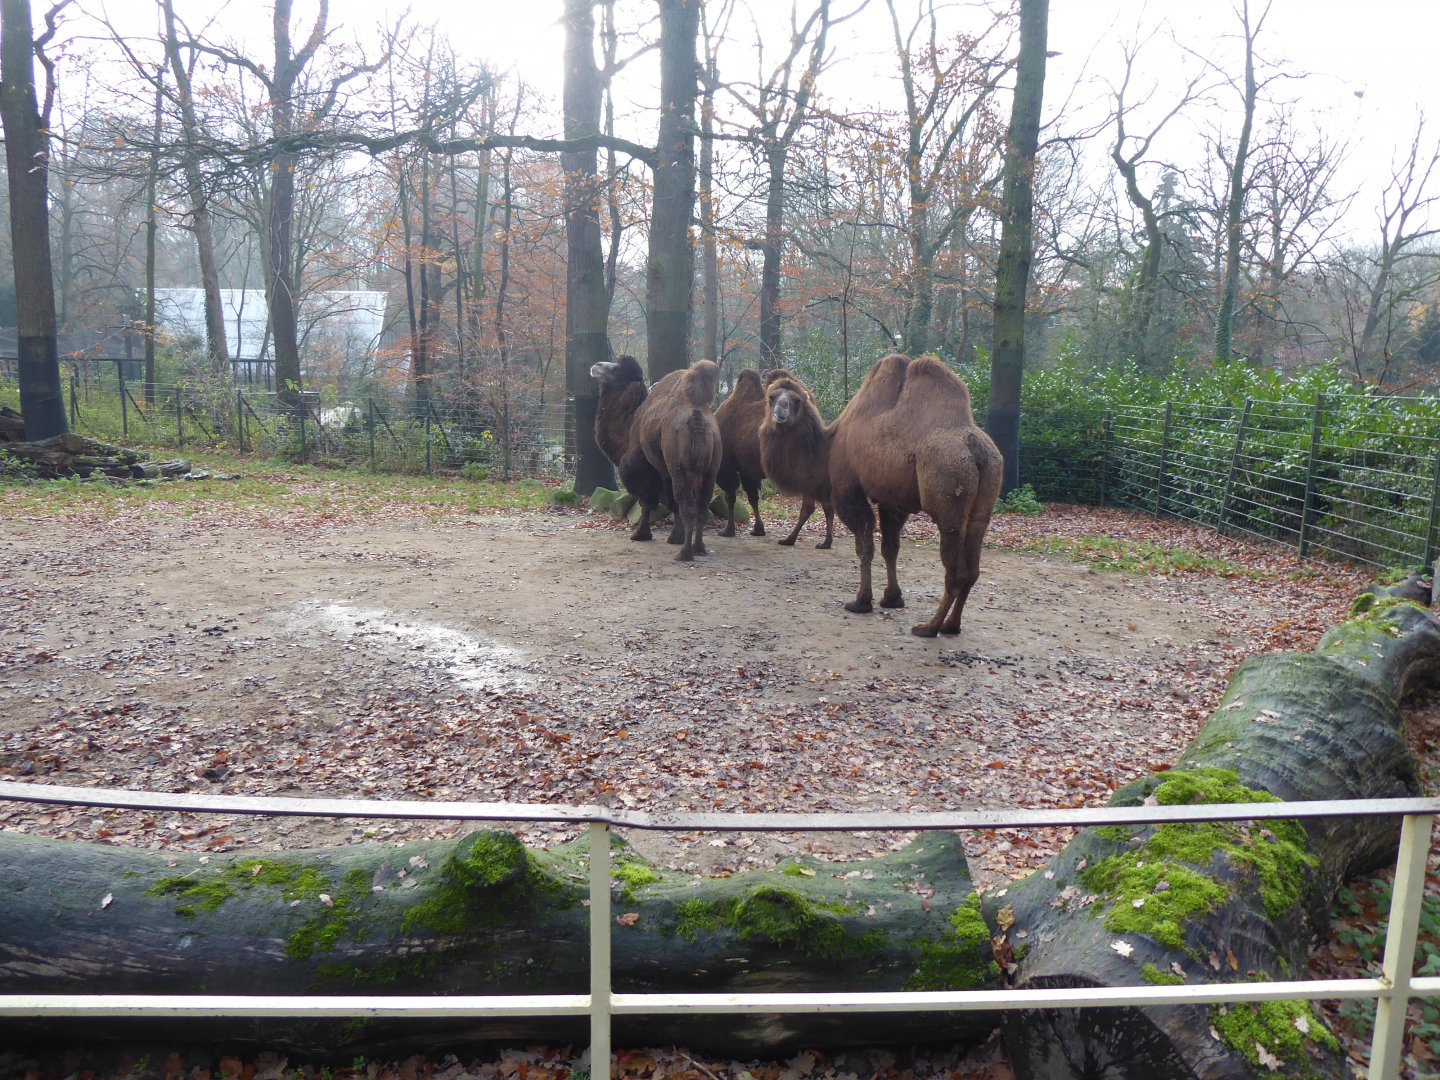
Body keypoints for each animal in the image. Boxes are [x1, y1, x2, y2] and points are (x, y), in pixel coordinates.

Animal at [756, 371, 836, 549]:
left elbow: (809, 509)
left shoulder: (813, 484)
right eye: (772, 397)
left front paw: (789, 539)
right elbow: (826, 510)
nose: (782, 405)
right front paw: (826, 542)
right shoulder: (821, 488)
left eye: (796, 400)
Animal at [828, 353, 1003, 637]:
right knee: (973, 568)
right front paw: (891, 599)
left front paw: (860, 602)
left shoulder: (848, 488)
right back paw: (952, 625)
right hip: (985, 500)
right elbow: (890, 548)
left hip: (948, 495)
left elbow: (864, 545)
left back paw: (929, 627)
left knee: (956, 570)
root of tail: (974, 449)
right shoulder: (892, 502)